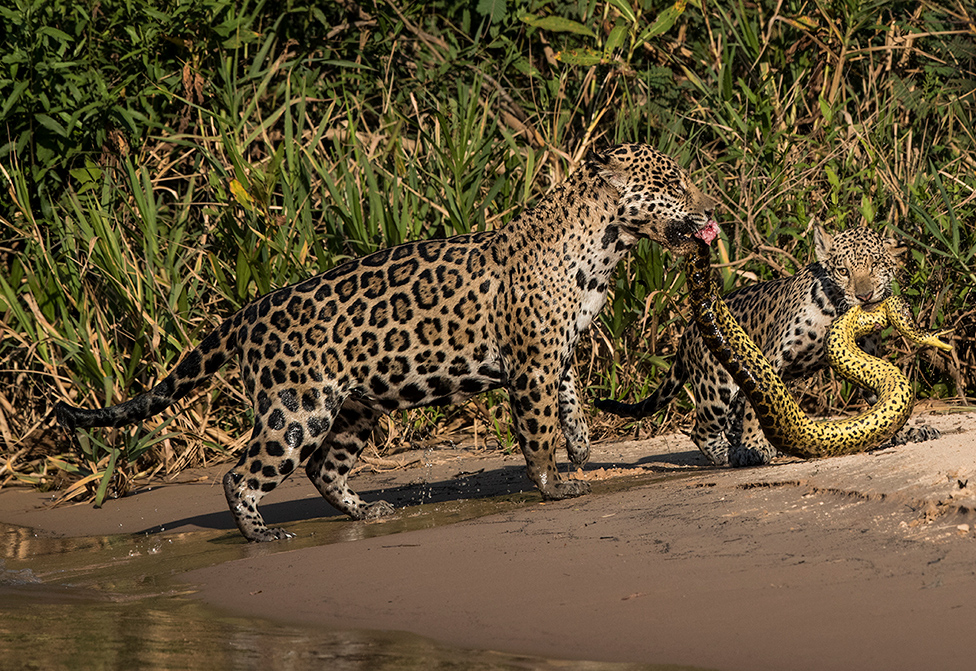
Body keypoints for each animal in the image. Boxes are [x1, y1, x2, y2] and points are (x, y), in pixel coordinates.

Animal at [55, 143, 718, 542]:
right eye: (673, 182)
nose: (713, 209)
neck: (606, 246)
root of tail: (248, 313)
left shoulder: (557, 350)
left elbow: (571, 400)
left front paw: (581, 447)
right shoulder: (530, 362)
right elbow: (536, 432)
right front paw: (555, 486)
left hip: (353, 407)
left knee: (324, 467)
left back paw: (365, 511)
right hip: (297, 409)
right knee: (241, 473)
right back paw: (261, 533)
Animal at [596, 224, 939, 468]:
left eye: (877, 265)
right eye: (843, 271)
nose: (865, 296)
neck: (835, 311)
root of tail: (687, 334)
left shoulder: (864, 356)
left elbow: (881, 398)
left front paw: (906, 431)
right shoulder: (773, 357)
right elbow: (755, 407)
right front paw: (755, 445)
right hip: (714, 385)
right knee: (702, 429)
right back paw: (731, 454)